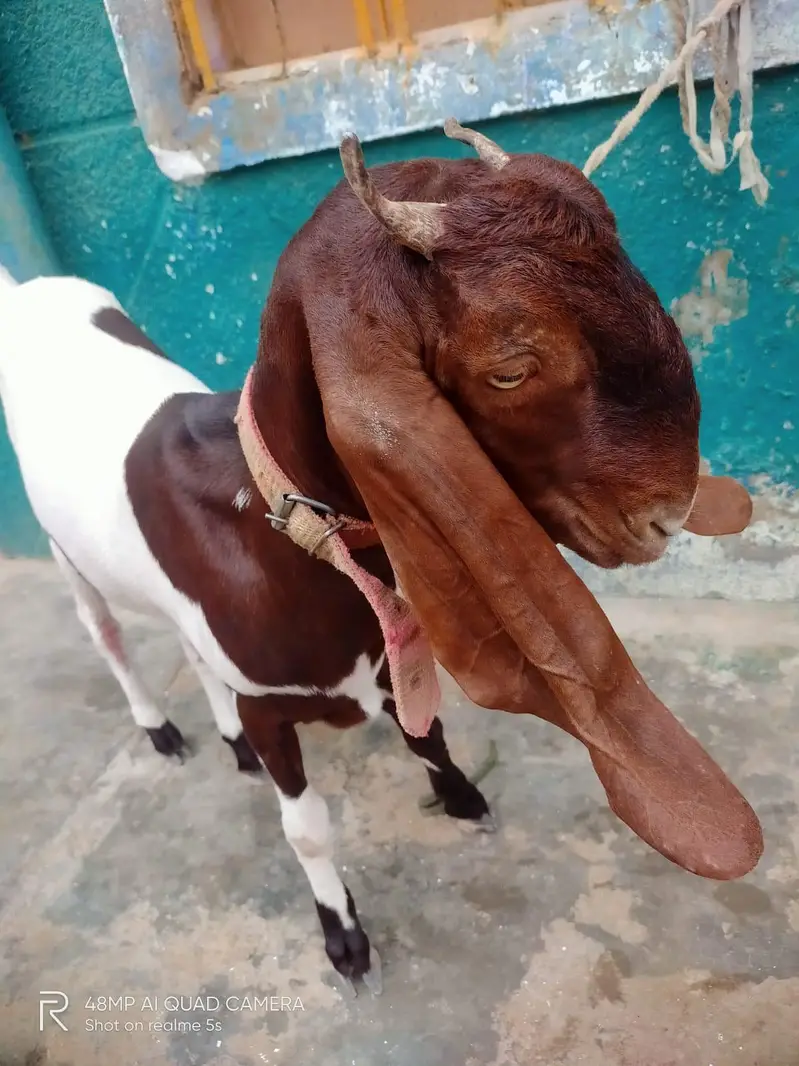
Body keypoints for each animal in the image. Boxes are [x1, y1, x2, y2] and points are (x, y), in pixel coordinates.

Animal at [0, 121, 762, 996]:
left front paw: (464, 800)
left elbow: (427, 737)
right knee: (107, 636)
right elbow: (307, 830)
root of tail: (24, 292)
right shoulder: (268, 705)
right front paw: (343, 934)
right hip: (65, 553)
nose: (669, 513)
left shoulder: (391, 657)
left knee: (189, 653)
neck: (278, 529)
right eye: (510, 368)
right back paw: (160, 728)